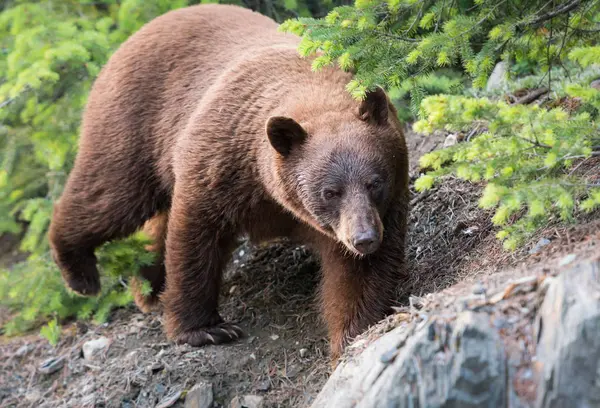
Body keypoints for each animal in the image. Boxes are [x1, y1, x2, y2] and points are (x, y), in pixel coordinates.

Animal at [49, 3, 410, 360]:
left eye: (375, 182)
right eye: (329, 192)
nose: (364, 238)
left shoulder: (380, 203)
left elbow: (359, 274)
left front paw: (354, 335)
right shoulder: (222, 165)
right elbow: (195, 236)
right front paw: (204, 329)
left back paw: (147, 285)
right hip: (134, 124)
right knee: (108, 196)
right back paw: (80, 274)